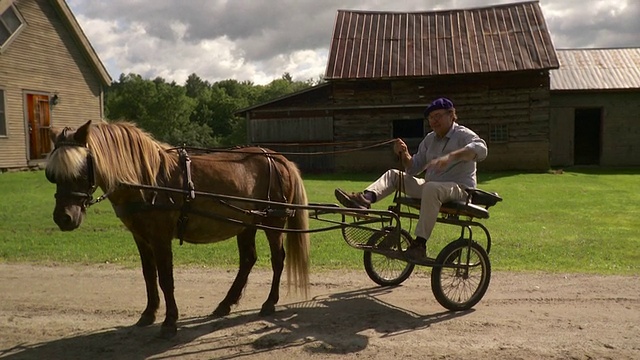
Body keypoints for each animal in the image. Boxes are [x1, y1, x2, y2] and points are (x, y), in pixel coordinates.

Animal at [44, 120, 310, 338]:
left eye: (82, 169)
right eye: (52, 174)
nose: (64, 218)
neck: (148, 180)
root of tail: (279, 158)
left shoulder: (160, 237)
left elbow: (165, 278)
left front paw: (170, 321)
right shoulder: (141, 237)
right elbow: (149, 275)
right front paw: (149, 313)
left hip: (273, 221)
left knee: (277, 259)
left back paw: (269, 303)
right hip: (247, 223)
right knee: (248, 260)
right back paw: (225, 303)